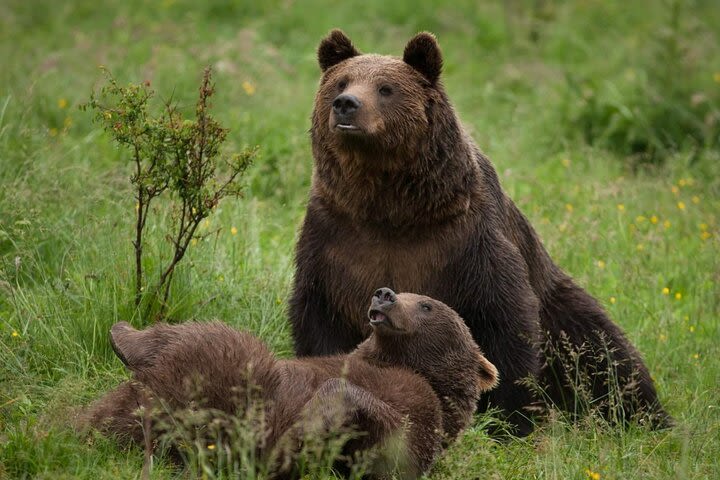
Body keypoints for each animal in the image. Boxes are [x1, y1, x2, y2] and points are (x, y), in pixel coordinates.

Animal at [290, 30, 672, 436]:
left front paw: (510, 420)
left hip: (560, 307)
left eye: (385, 88)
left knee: (602, 353)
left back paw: (646, 418)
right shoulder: (335, 238)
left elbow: (502, 318)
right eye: (341, 82)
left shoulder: (465, 239)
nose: (346, 104)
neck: (391, 207)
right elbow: (320, 316)